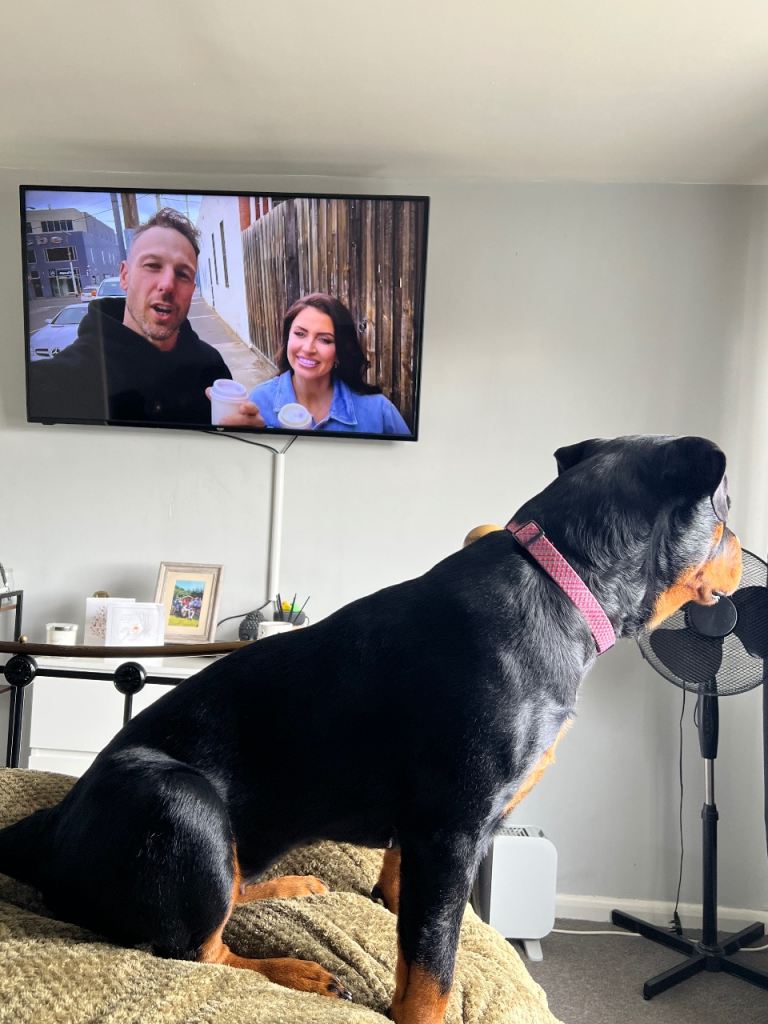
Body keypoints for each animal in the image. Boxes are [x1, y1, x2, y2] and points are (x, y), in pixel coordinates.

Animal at [0, 435, 741, 1024]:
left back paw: (282, 888)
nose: (744, 548)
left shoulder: (432, 834)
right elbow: (433, 969)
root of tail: (46, 829)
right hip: (179, 801)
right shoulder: (454, 831)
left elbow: (411, 923)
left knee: (229, 891)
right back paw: (294, 970)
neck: (564, 582)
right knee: (196, 948)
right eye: (729, 507)